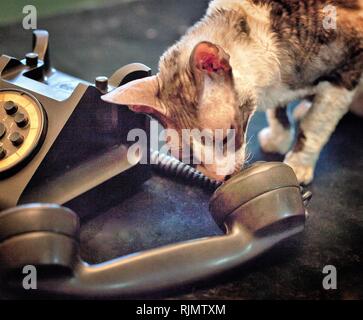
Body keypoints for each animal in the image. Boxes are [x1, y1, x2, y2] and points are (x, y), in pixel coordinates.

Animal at [101, 0, 363, 185]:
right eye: (188, 158)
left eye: (227, 136)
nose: (223, 177)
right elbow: (277, 109)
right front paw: (279, 138)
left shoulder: (346, 73)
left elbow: (314, 125)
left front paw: (298, 164)